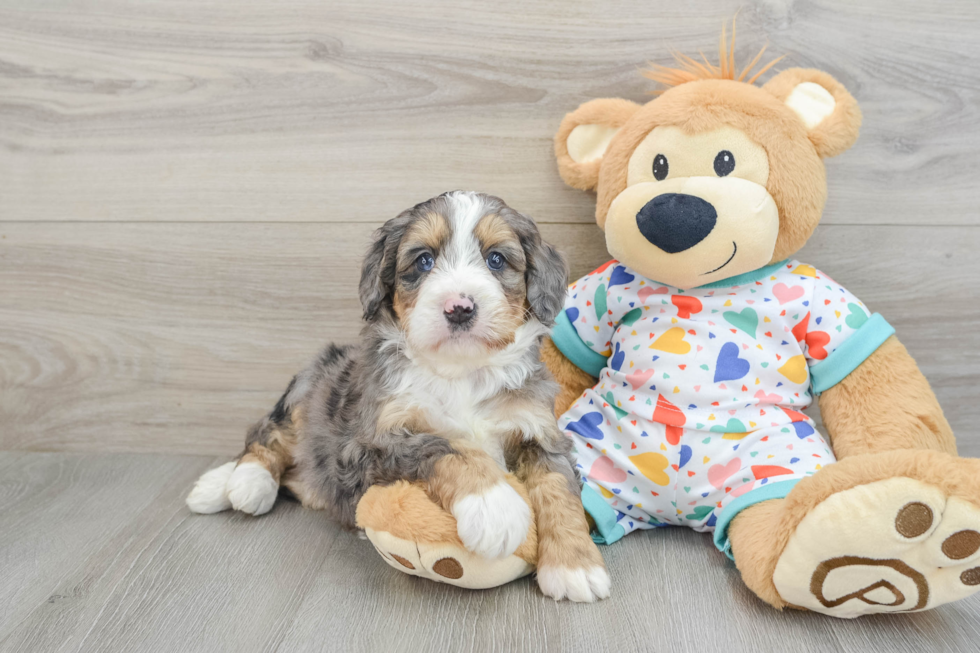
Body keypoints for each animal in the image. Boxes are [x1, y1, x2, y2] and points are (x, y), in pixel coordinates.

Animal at [187, 190, 608, 600]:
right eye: (423, 260)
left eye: (496, 259)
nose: (459, 308)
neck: (461, 372)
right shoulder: (368, 442)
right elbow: (447, 446)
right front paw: (495, 507)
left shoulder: (539, 429)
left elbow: (559, 489)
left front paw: (575, 566)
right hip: (307, 390)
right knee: (265, 435)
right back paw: (238, 484)